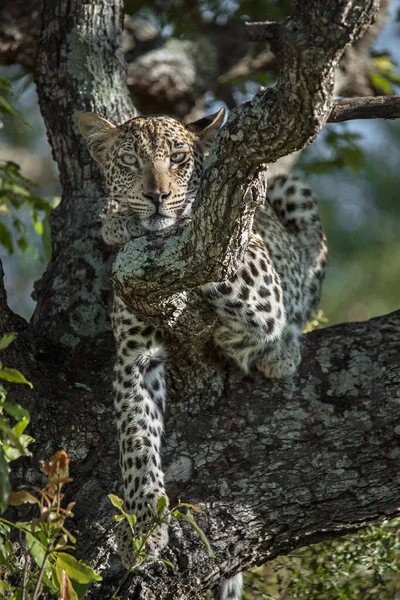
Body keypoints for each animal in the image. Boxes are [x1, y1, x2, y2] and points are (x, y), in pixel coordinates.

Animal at [79, 109, 328, 600]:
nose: (157, 196)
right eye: (131, 161)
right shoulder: (135, 356)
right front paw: (143, 528)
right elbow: (136, 442)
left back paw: (278, 353)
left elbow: (205, 241)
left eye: (178, 159)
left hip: (290, 191)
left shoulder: (256, 279)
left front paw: (138, 220)